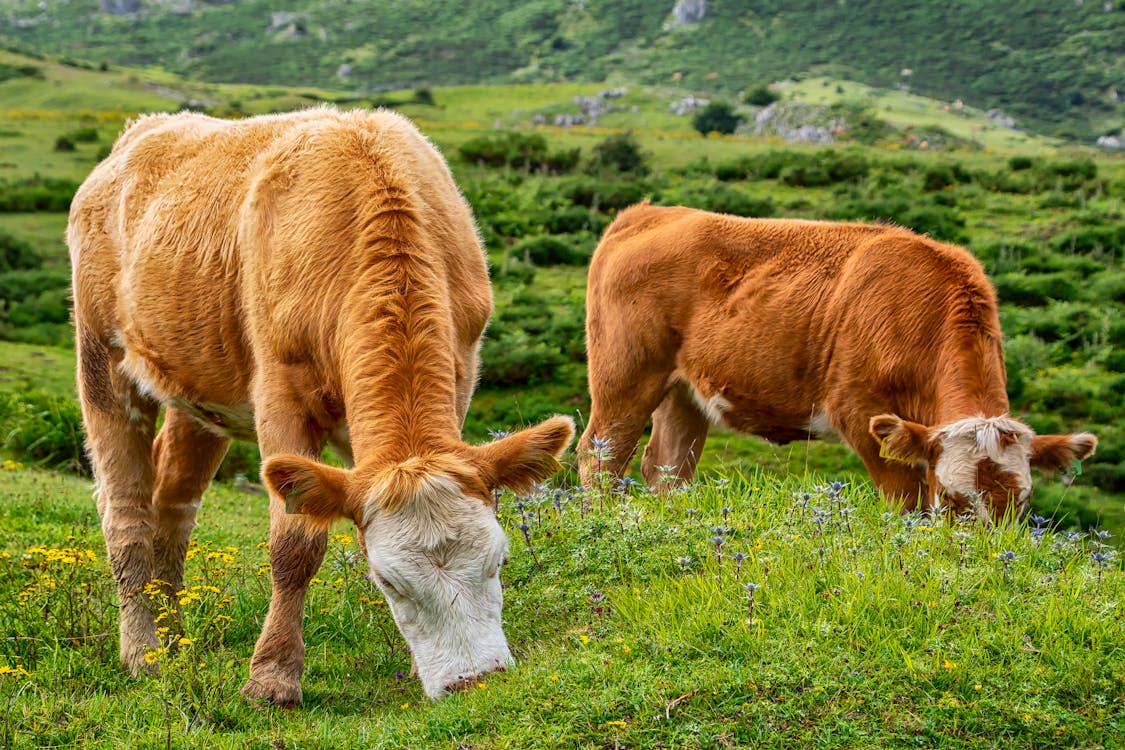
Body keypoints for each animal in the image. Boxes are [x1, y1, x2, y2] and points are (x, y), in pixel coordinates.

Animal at [70, 105, 576, 706]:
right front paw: (272, 677)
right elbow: (296, 544)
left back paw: (175, 640)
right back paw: (144, 653)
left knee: (172, 506)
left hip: (199, 384)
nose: (473, 680)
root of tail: (147, 128)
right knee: (125, 511)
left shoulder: (459, 375)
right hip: (101, 358)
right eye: (388, 580)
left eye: (499, 559)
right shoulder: (279, 395)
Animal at [580, 205, 1098, 521]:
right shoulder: (861, 413)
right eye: (952, 499)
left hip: (684, 392)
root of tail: (650, 213)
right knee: (600, 455)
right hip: (624, 377)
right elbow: (906, 504)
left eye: (1021, 503)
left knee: (667, 467)